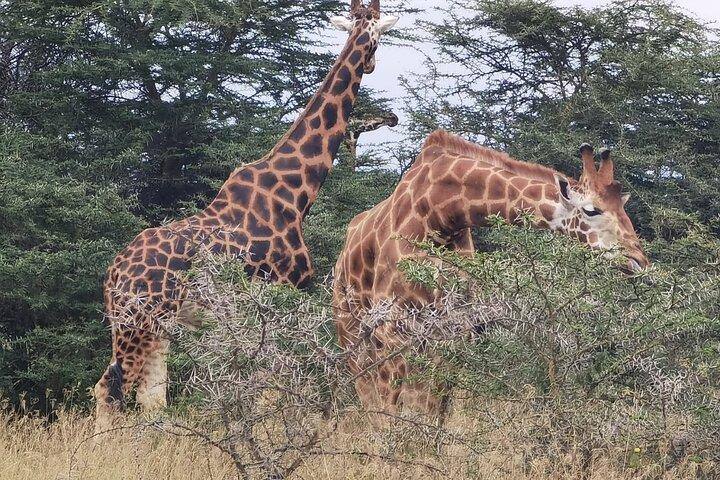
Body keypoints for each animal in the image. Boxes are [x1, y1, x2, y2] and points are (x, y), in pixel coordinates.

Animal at [93, 0, 399, 427]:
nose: (371, 64)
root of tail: (113, 274)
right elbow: (269, 391)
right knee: (107, 389)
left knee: (151, 398)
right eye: (375, 39)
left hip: (155, 325)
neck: (296, 193)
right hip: (135, 321)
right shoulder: (282, 291)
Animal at [333, 129, 650, 419]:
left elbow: (436, 407)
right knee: (369, 395)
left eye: (623, 208)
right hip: (352, 334)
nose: (639, 262)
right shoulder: (392, 326)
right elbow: (390, 407)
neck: (441, 213)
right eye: (591, 210)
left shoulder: (454, 328)